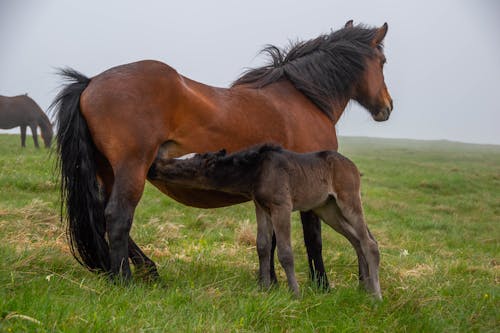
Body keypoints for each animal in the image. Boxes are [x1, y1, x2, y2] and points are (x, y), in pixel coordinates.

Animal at [51, 22, 394, 284]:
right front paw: (321, 286)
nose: (387, 107)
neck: (302, 99)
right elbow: (314, 240)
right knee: (118, 217)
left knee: (103, 215)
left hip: (108, 172)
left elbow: (269, 240)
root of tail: (90, 82)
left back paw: (143, 271)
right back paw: (125, 280)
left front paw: (269, 282)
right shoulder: (312, 189)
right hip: (131, 170)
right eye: (383, 62)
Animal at [148, 144, 382, 300]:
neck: (257, 171)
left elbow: (285, 252)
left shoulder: (282, 207)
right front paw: (265, 289)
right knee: (357, 240)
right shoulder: (261, 207)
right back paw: (364, 289)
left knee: (369, 242)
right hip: (328, 209)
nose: (153, 167)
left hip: (348, 201)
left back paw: (376, 297)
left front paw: (295, 293)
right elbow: (263, 245)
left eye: (183, 166)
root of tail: (352, 166)